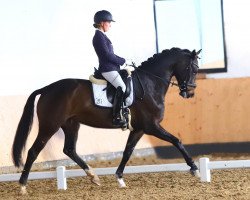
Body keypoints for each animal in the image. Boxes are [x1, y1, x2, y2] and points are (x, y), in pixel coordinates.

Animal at [12, 47, 202, 194]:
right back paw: (22, 186)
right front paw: (195, 169)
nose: (190, 93)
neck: (149, 83)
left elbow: (127, 152)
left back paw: (94, 177)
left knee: (69, 149)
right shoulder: (151, 126)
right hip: (50, 126)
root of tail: (46, 89)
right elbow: (177, 141)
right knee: (33, 152)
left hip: (71, 124)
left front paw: (119, 178)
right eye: (193, 69)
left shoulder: (139, 129)